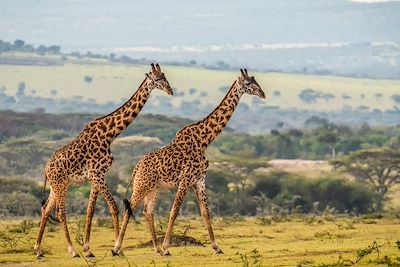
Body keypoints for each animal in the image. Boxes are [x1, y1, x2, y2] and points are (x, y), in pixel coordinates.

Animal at [33, 63, 173, 260]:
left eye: (165, 76)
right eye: (158, 79)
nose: (171, 91)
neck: (110, 133)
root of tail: (46, 169)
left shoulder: (96, 176)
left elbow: (90, 210)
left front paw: (89, 249)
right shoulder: (97, 174)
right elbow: (113, 206)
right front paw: (117, 248)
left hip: (57, 185)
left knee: (46, 209)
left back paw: (38, 249)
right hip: (60, 184)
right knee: (60, 212)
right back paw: (72, 250)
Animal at [111, 69, 264, 258]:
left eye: (255, 80)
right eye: (248, 83)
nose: (262, 93)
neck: (204, 140)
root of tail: (136, 167)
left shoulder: (199, 181)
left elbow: (205, 213)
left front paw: (217, 247)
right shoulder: (184, 180)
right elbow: (174, 211)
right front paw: (167, 247)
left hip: (154, 188)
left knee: (148, 211)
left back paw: (155, 249)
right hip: (142, 185)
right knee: (129, 208)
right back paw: (117, 248)